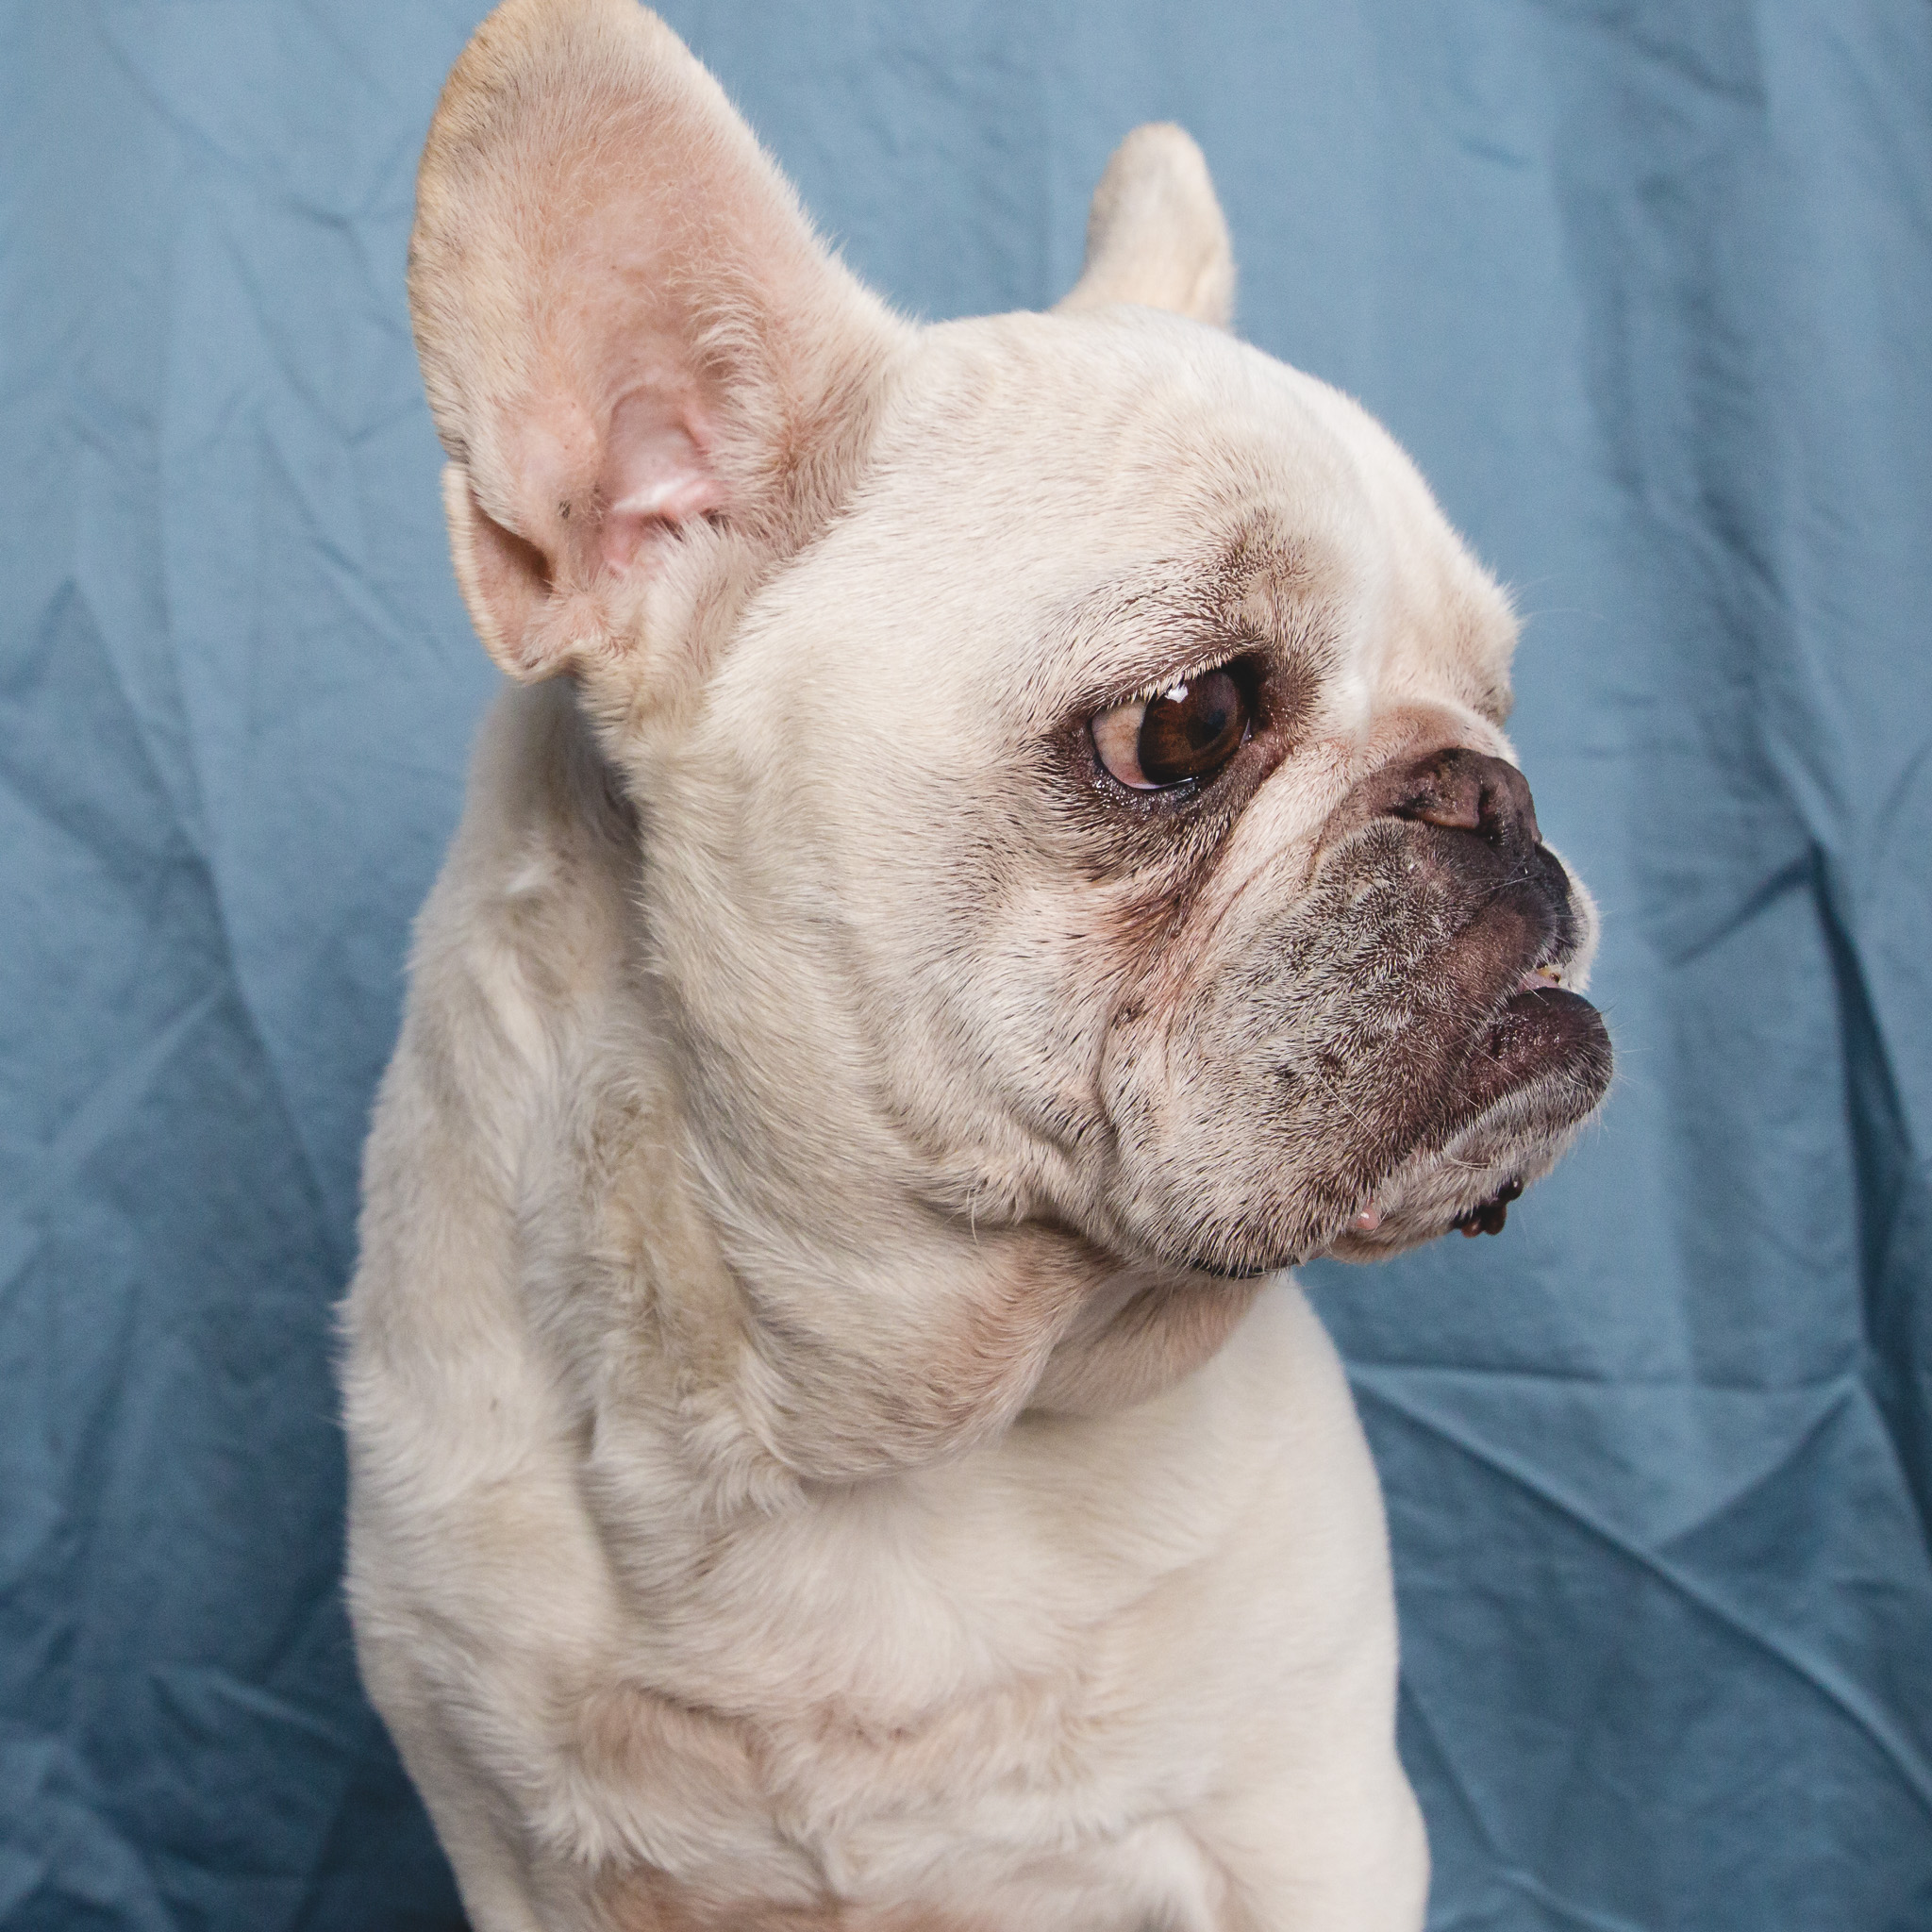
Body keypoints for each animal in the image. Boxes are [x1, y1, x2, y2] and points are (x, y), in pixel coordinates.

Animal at [340, 4, 1607, 1932]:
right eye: (1186, 723)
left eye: (1497, 692)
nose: (1492, 791)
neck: (880, 1429)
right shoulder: (523, 1859)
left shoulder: (1308, 1824)